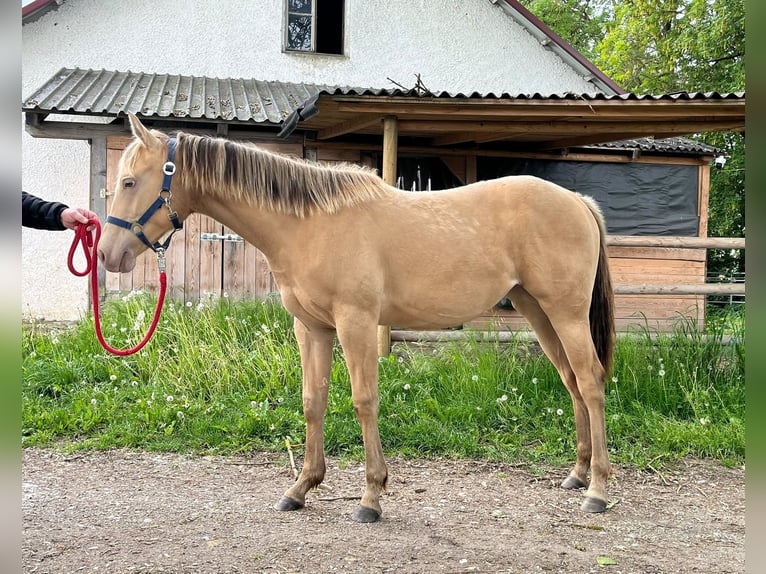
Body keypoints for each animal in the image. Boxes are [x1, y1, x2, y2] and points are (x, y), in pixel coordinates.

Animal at [98, 112, 615, 523]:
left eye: (129, 182)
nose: (107, 254)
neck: (309, 225)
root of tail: (578, 201)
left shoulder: (356, 323)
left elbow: (364, 401)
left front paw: (371, 496)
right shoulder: (312, 329)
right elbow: (313, 401)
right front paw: (301, 488)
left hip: (566, 314)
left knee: (590, 381)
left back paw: (597, 490)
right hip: (538, 312)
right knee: (571, 380)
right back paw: (576, 474)